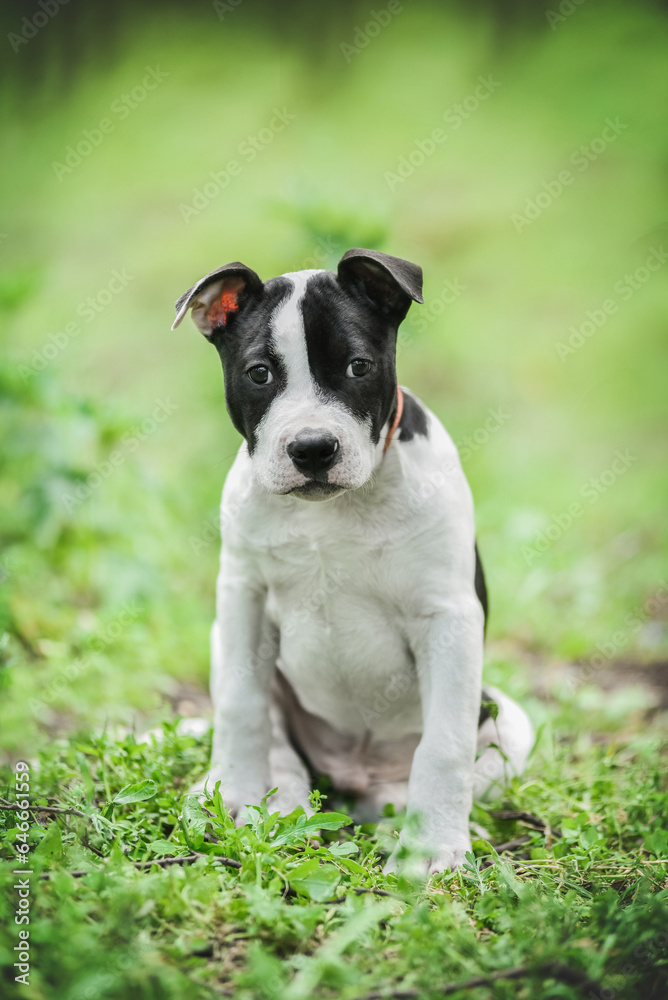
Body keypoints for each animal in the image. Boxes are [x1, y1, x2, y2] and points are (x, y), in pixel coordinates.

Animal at [174, 250, 532, 876]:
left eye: (358, 366)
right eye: (259, 374)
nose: (312, 448)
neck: (331, 512)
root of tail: (350, 775)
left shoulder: (449, 619)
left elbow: (445, 744)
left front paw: (432, 850)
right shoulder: (243, 597)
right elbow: (243, 706)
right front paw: (236, 796)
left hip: (508, 719)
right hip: (227, 643)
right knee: (277, 742)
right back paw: (274, 801)